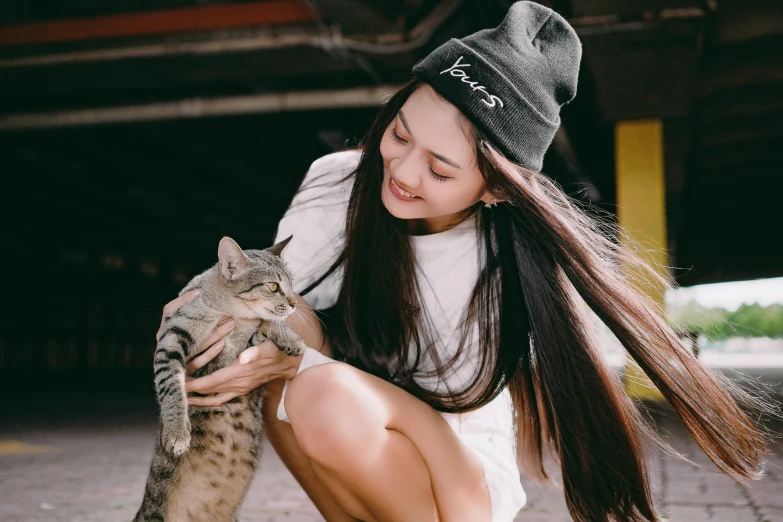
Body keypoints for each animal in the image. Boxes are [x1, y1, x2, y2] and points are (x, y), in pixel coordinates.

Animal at [135, 236, 306, 520]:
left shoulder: (245, 347)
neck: (234, 313)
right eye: (273, 286)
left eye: (292, 285)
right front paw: (177, 432)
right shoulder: (172, 339)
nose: (295, 304)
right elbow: (171, 385)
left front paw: (291, 339)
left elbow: (268, 324)